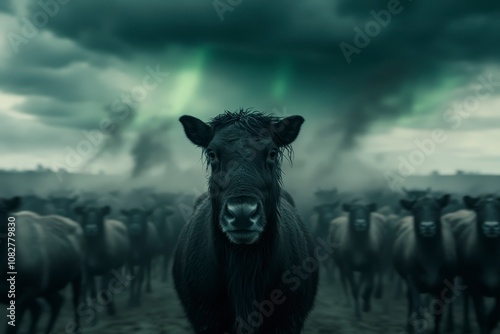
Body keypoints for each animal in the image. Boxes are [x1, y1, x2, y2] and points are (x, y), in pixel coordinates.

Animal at [0, 197, 84, 332]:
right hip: (50, 285)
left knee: (75, 300)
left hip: (77, 274)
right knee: (56, 301)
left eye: (2, 209)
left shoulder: (28, 292)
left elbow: (13, 327)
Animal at [392, 194, 458, 332]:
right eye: (415, 210)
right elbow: (418, 310)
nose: (427, 226)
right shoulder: (412, 280)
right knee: (410, 301)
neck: (430, 262)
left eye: (437, 208)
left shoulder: (444, 283)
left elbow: (438, 313)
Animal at [444, 194, 498, 332]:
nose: (491, 227)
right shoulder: (475, 285)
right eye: (478, 207)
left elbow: (493, 317)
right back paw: (450, 326)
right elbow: (481, 316)